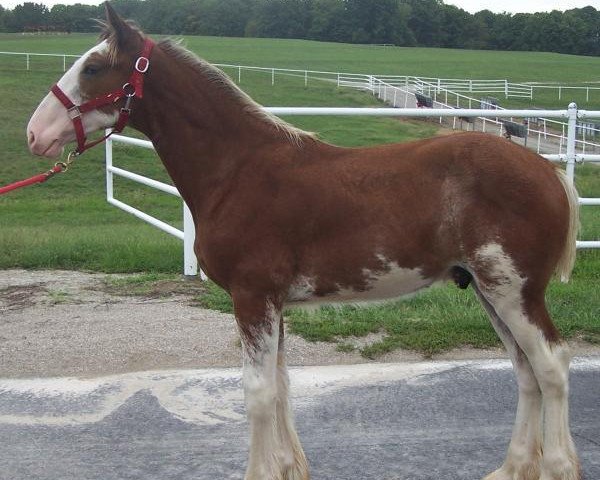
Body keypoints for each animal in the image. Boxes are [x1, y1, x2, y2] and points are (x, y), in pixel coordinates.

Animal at [27, 4, 580, 480]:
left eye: (94, 67)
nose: (35, 134)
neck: (239, 170)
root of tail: (548, 170)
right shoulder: (273, 303)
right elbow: (281, 385)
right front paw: (289, 467)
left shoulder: (252, 298)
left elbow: (257, 392)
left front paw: (260, 472)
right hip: (489, 292)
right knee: (525, 371)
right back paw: (512, 468)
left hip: (514, 291)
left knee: (551, 366)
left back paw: (556, 466)